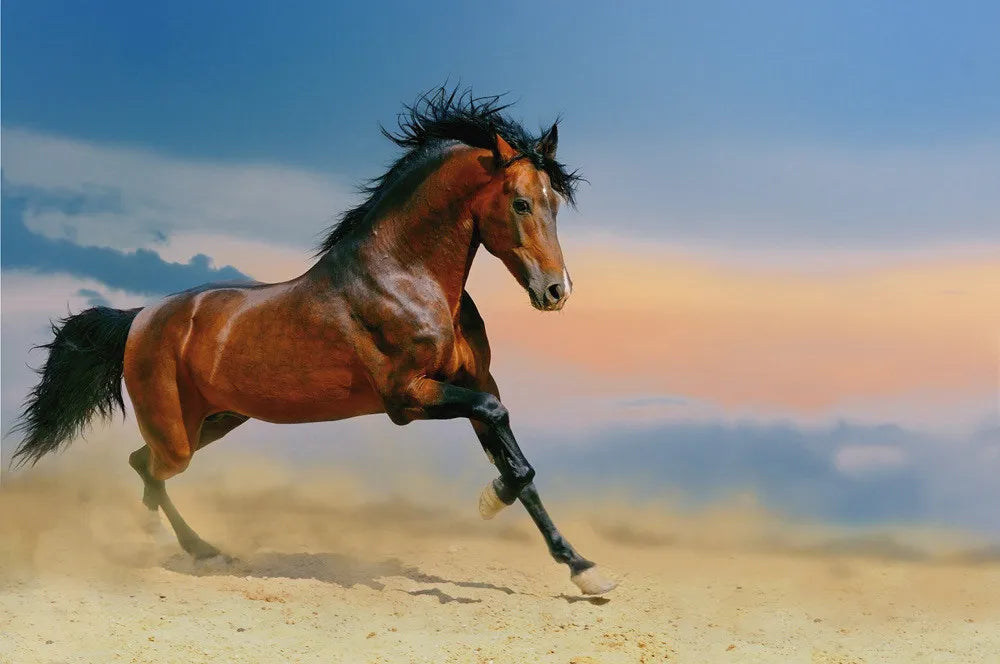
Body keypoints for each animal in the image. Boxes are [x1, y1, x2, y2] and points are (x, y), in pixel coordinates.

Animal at [10, 87, 616, 595]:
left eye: (554, 203)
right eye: (520, 203)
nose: (557, 291)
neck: (406, 277)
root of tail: (140, 317)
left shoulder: (473, 383)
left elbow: (519, 463)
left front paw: (584, 569)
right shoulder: (408, 398)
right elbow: (503, 440)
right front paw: (492, 502)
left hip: (215, 420)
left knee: (142, 468)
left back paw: (188, 549)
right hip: (177, 433)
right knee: (152, 473)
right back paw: (189, 551)